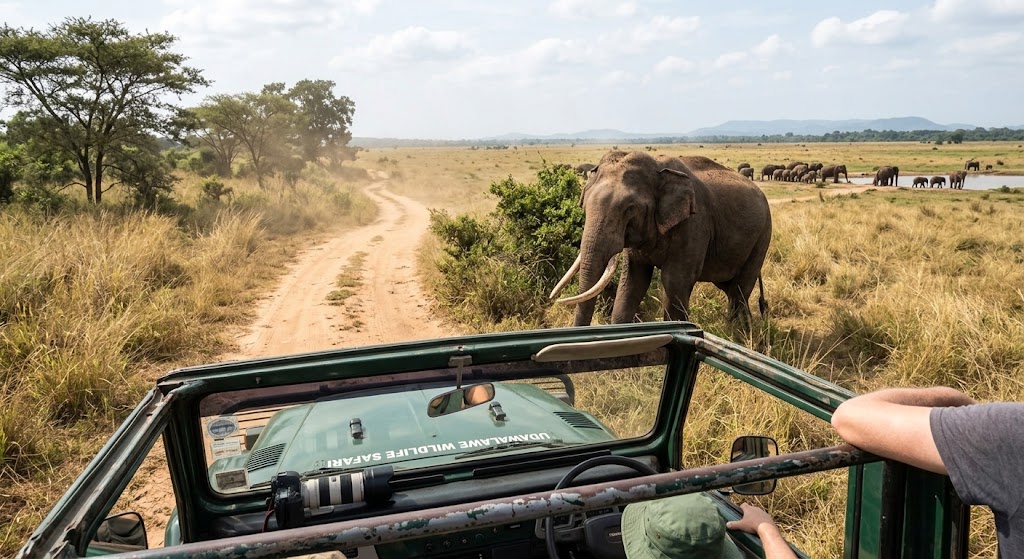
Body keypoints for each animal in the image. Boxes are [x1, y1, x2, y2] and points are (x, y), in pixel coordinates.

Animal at [549, 151, 771, 326]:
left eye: (630, 209)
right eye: (584, 206)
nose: (554, 299)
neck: (658, 166)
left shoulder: (694, 224)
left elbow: (674, 282)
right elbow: (633, 280)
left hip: (762, 236)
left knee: (740, 289)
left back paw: (738, 333)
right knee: (730, 287)